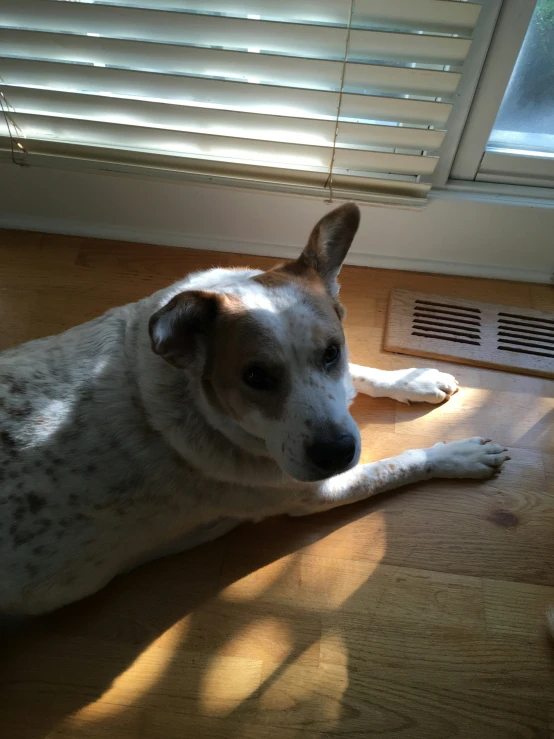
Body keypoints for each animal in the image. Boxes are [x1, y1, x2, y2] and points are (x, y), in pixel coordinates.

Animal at [1, 201, 508, 612]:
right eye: (255, 378)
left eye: (332, 351)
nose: (336, 452)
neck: (191, 397)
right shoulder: (315, 490)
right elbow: (399, 463)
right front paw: (458, 454)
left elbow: (359, 374)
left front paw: (412, 379)